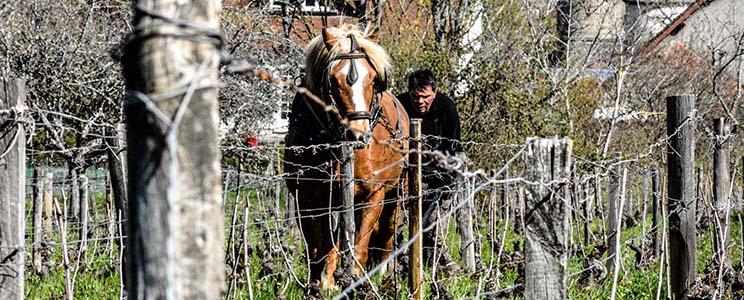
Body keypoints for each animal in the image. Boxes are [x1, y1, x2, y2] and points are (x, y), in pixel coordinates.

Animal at [284, 24, 412, 290]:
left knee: (386, 234)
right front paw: (321, 283)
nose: (358, 134)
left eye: (373, 79)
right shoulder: (307, 196)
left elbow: (360, 246)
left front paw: (354, 281)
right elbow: (318, 246)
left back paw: (381, 272)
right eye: (333, 79)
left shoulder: (373, 194)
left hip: (396, 192)